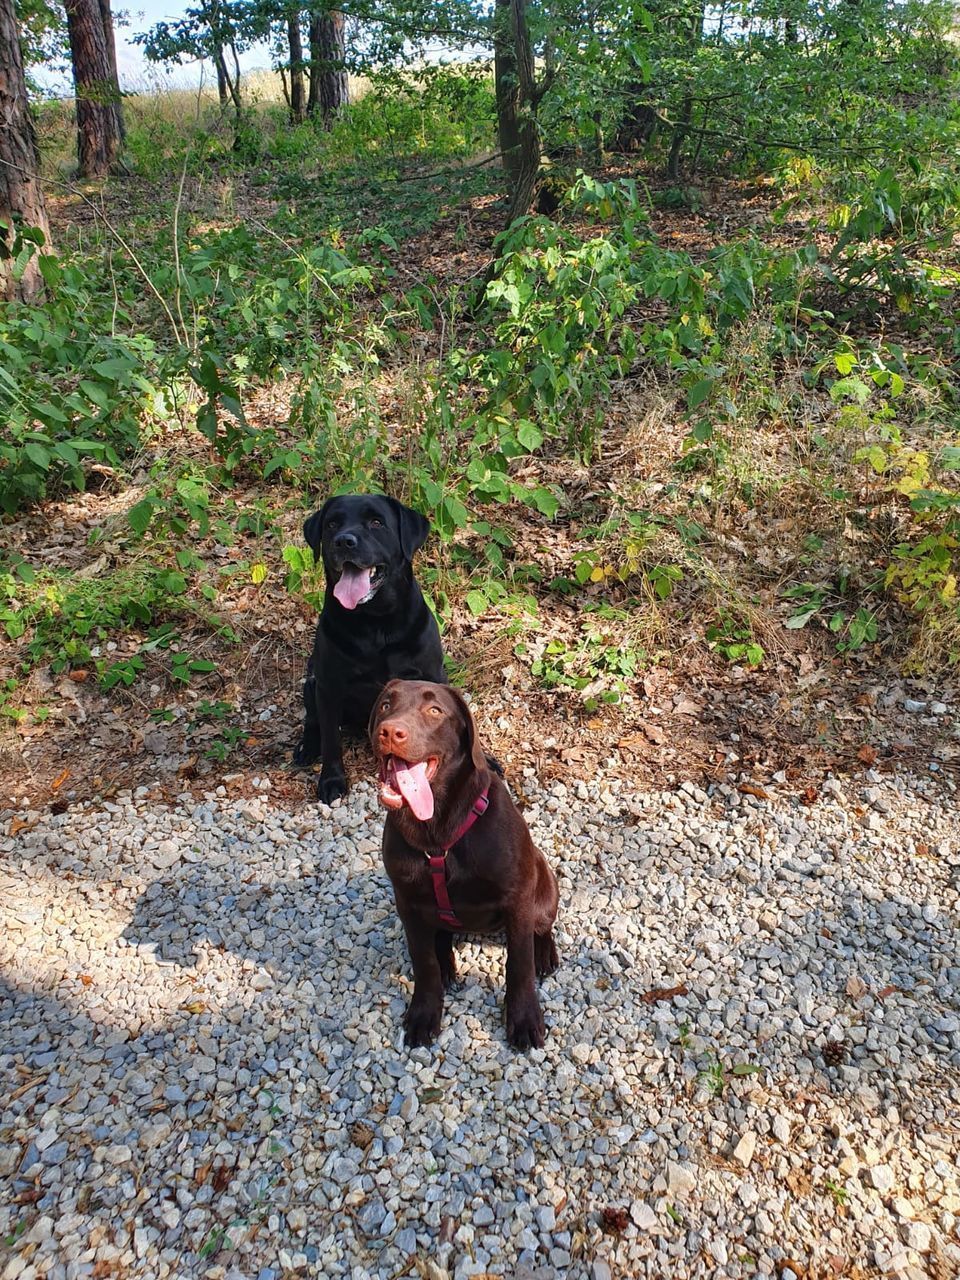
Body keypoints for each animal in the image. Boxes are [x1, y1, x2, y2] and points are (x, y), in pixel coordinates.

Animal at [293, 496, 448, 798]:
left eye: (376, 522)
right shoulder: (329, 686)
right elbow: (331, 740)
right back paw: (308, 747)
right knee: (314, 722)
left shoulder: (433, 675)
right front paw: (331, 780)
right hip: (311, 682)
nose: (344, 541)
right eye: (332, 524)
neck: (377, 622)